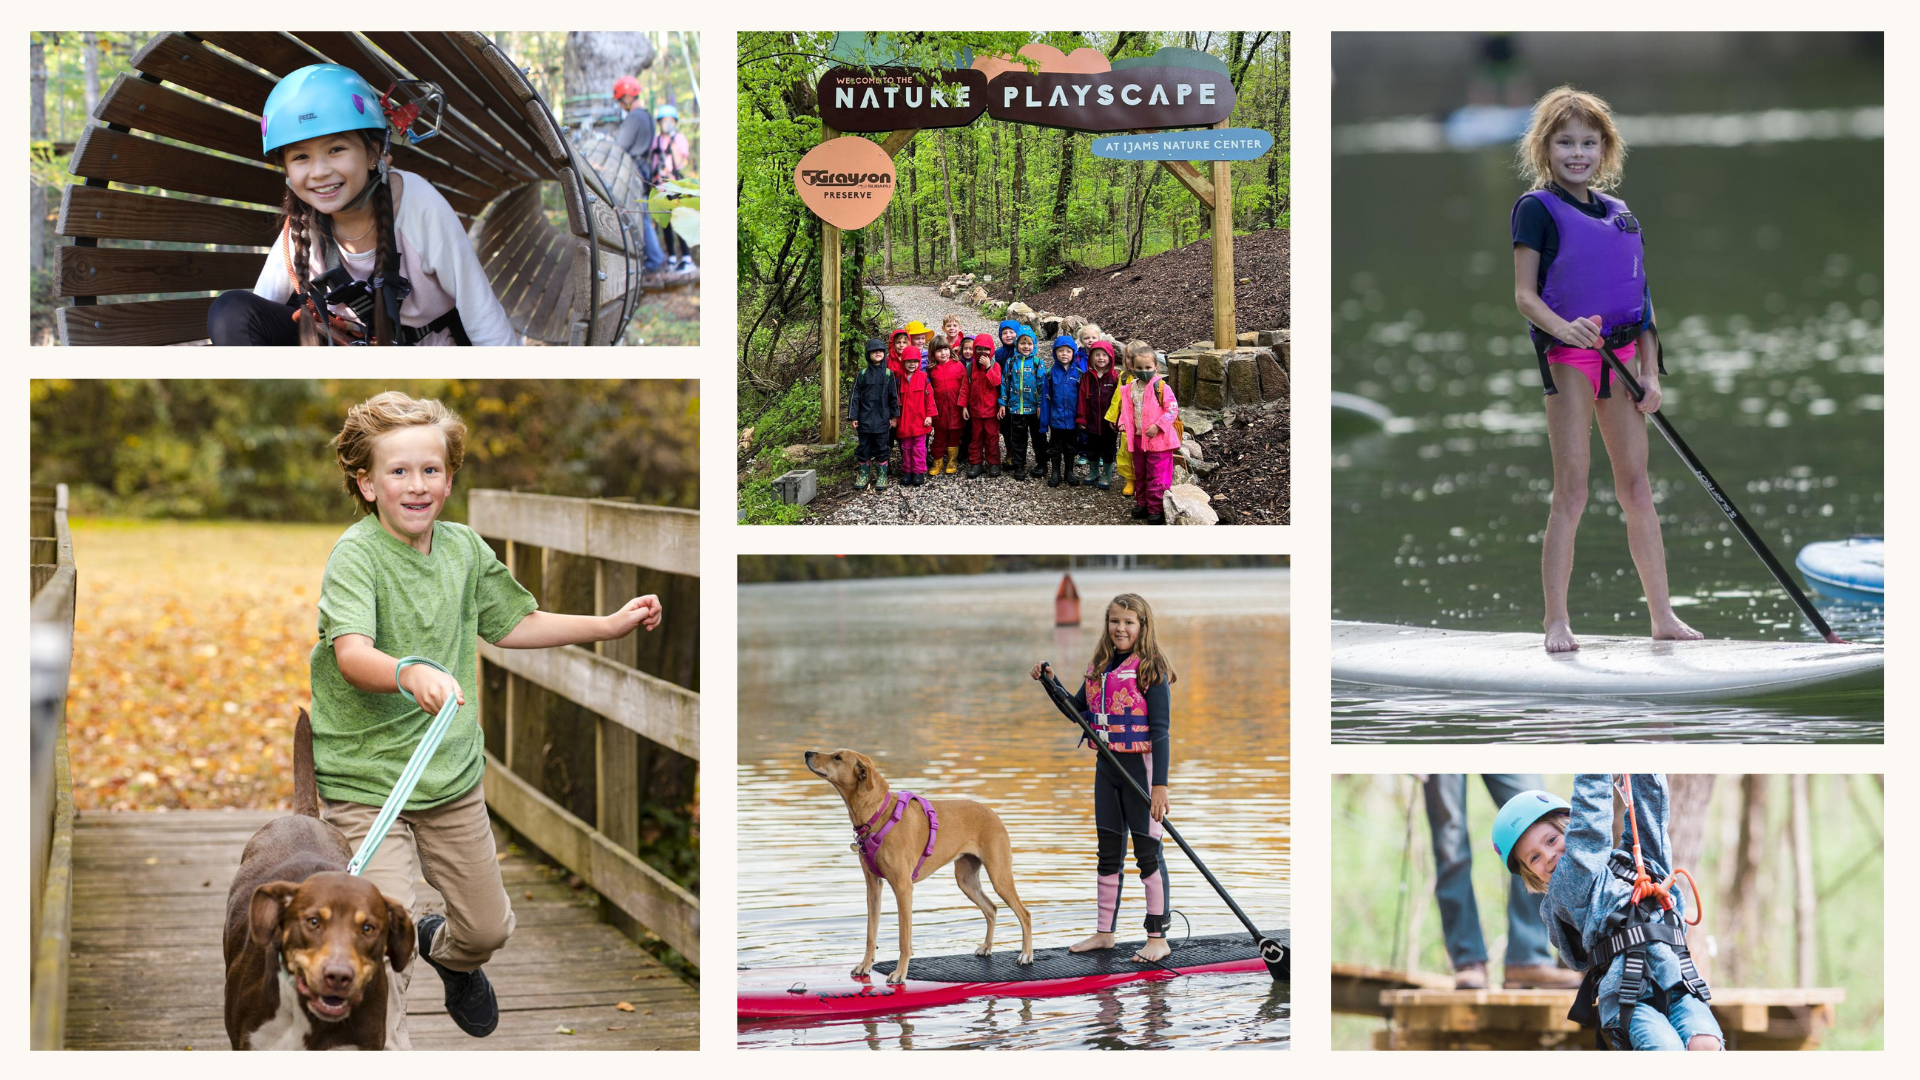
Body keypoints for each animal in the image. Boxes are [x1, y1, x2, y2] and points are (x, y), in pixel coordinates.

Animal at [802, 745, 1036, 980]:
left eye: (837, 757)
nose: (807, 753)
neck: (877, 813)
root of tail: (993, 812)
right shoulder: (873, 886)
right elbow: (871, 932)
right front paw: (865, 965)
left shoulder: (903, 888)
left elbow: (904, 939)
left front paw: (899, 973)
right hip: (966, 880)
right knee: (991, 908)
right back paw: (987, 947)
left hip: (999, 876)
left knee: (1024, 914)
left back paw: (1026, 955)